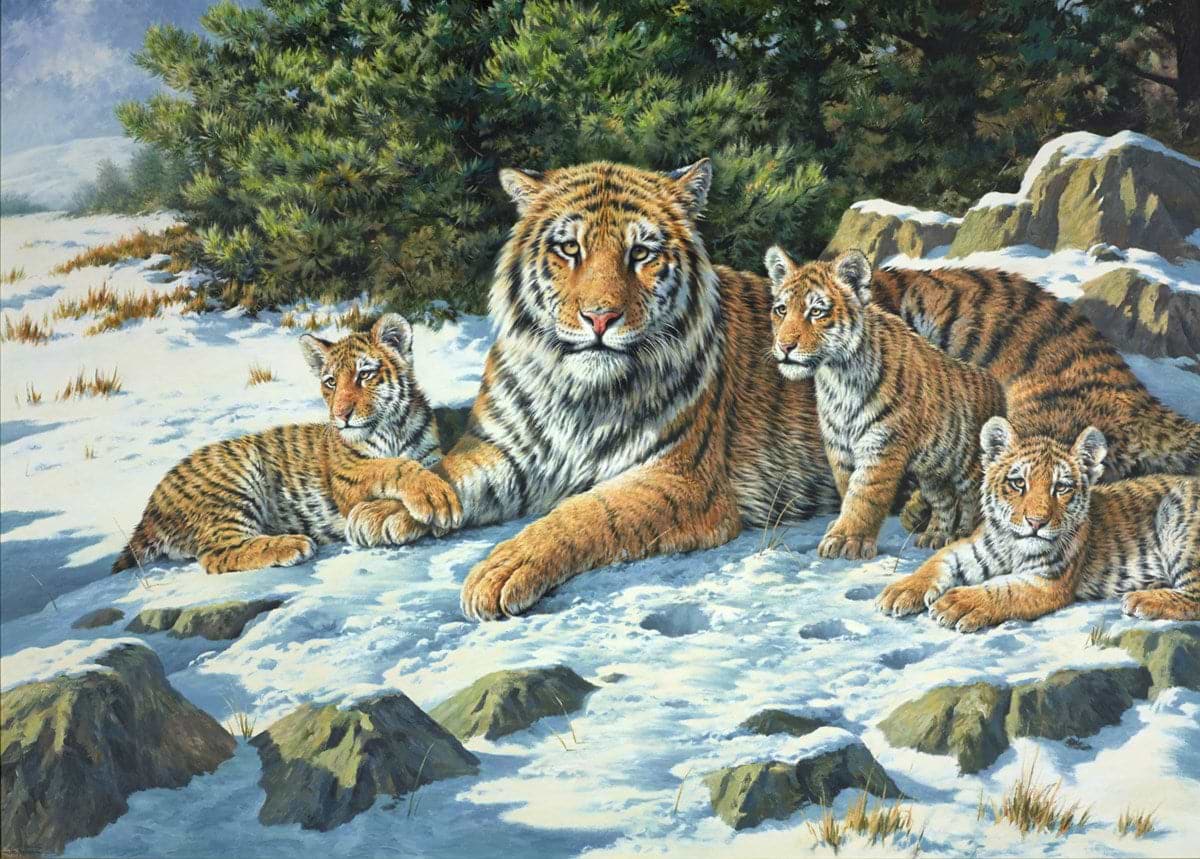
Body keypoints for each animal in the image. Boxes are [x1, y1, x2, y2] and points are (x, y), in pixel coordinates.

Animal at [112, 314, 461, 575]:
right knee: (217, 554)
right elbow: (394, 466)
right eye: (330, 382)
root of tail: (149, 509)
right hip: (235, 481)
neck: (392, 427)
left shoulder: (429, 454)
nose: (341, 415)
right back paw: (292, 544)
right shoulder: (350, 477)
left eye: (364, 375)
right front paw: (435, 498)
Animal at [389, 158, 840, 620]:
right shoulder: (503, 449)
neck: (578, 393)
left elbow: (587, 513)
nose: (600, 318)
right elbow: (452, 470)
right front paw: (390, 507)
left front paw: (503, 569)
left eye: (640, 253)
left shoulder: (680, 477)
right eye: (570, 249)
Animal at [764, 247, 1006, 560]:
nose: (784, 346)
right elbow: (848, 490)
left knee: (971, 501)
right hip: (933, 474)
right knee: (945, 501)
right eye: (781, 310)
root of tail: (997, 383)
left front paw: (846, 540)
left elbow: (865, 495)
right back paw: (936, 535)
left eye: (816, 311)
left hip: (969, 465)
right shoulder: (839, 448)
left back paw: (961, 535)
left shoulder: (882, 444)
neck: (837, 378)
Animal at [877, 416, 1200, 631]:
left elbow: (1003, 590)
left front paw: (959, 603)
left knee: (1195, 598)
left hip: (1175, 521)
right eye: (1019, 483)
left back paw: (1141, 600)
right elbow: (937, 562)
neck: (1012, 545)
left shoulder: (1048, 580)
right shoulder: (972, 548)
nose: (1036, 522)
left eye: (1061, 487)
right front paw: (900, 591)